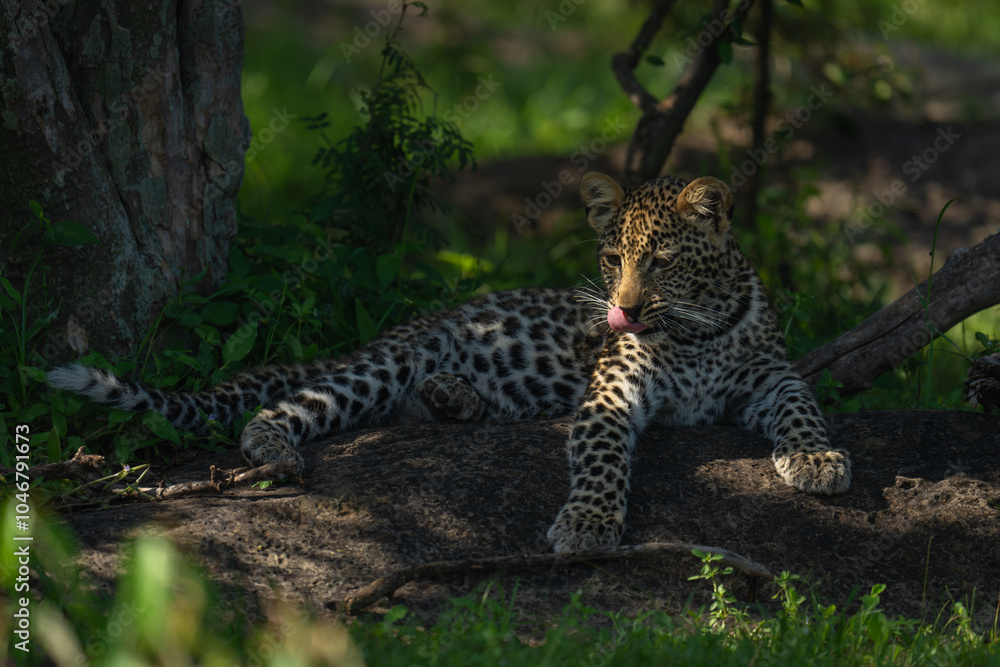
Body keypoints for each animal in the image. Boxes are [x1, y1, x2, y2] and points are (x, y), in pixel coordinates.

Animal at [48, 171, 851, 553]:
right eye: (612, 258)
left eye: (661, 261)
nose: (620, 311)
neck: (694, 332)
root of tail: (418, 319)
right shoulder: (613, 393)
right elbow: (600, 461)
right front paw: (589, 523)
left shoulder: (770, 373)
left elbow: (803, 405)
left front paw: (817, 459)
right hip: (375, 369)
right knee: (282, 407)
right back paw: (277, 450)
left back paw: (454, 398)